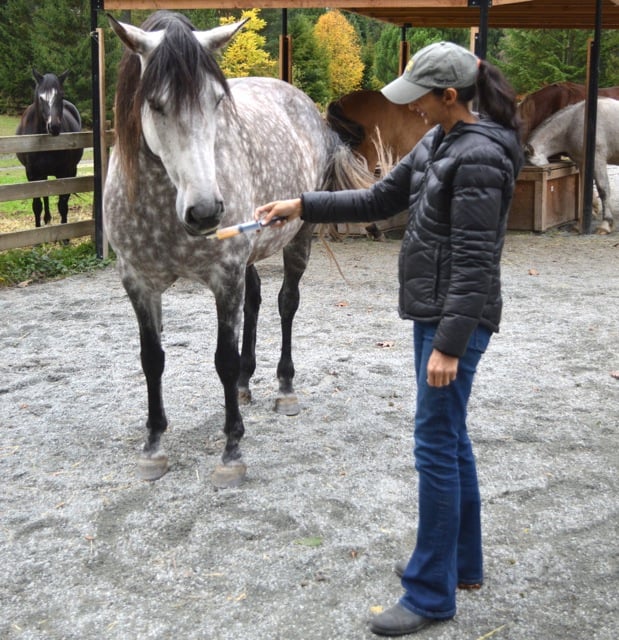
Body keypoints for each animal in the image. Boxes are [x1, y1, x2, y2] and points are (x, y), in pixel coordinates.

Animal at [16, 69, 83, 228]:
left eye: (61, 95)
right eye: (41, 98)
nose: (54, 127)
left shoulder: (65, 173)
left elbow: (63, 205)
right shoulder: (32, 174)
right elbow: (37, 205)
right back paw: (46, 218)